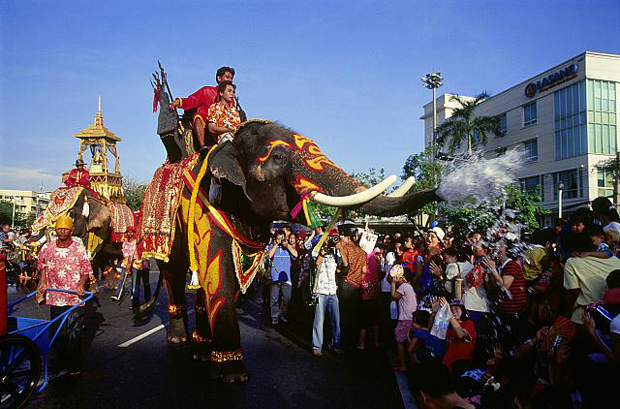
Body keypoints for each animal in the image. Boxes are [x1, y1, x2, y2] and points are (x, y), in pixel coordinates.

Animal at [150, 118, 440, 382]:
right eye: (278, 157)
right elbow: (217, 272)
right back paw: (177, 339)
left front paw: (221, 362)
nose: (438, 189)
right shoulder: (206, 209)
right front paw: (232, 374)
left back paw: (200, 349)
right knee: (172, 271)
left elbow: (229, 279)